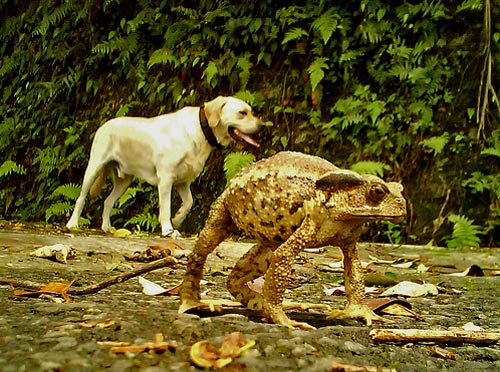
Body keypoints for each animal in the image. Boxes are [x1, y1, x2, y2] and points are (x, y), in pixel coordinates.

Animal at [65, 94, 266, 237]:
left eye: (252, 111)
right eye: (242, 113)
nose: (263, 125)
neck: (201, 130)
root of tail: (104, 124)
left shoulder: (182, 181)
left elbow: (189, 202)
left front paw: (177, 220)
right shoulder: (166, 178)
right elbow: (165, 207)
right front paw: (168, 229)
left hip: (124, 181)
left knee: (108, 201)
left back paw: (107, 227)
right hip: (94, 167)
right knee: (81, 198)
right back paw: (72, 224)